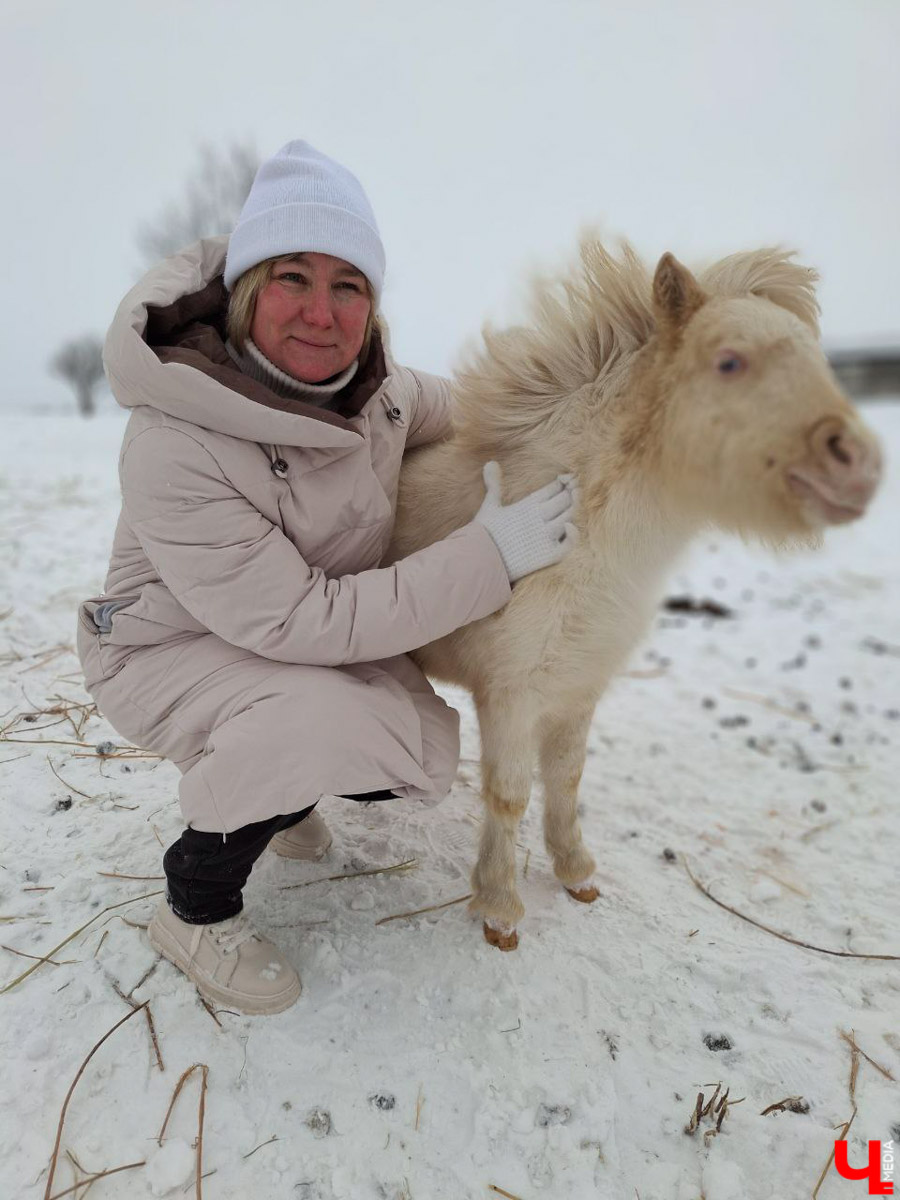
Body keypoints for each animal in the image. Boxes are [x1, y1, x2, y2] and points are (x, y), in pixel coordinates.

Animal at [386, 238, 883, 950]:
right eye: (729, 361)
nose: (860, 464)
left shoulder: (577, 691)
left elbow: (565, 781)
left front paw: (577, 875)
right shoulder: (510, 697)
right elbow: (508, 796)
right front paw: (500, 911)